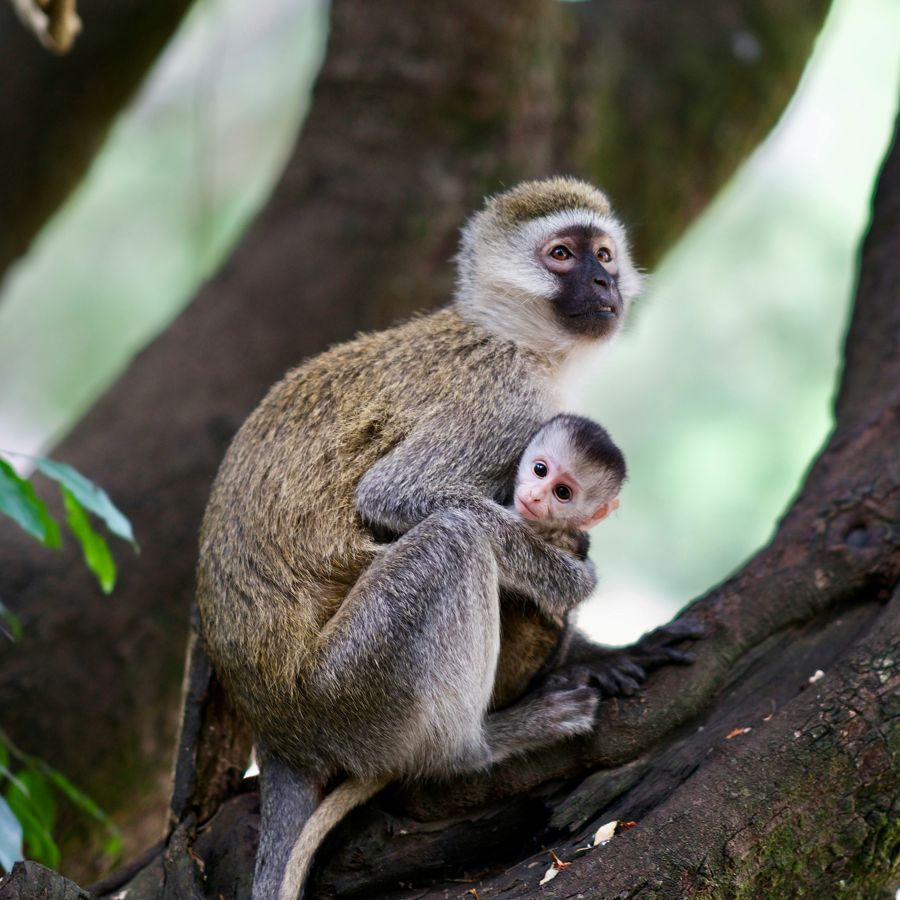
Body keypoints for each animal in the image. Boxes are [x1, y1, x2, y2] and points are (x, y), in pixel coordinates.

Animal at [195, 177, 702, 899]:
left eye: (604, 253)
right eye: (561, 254)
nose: (605, 280)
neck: (509, 335)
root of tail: (277, 732)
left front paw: (605, 652)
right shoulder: (502, 401)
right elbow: (392, 495)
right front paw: (570, 583)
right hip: (345, 692)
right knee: (453, 539)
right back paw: (477, 747)